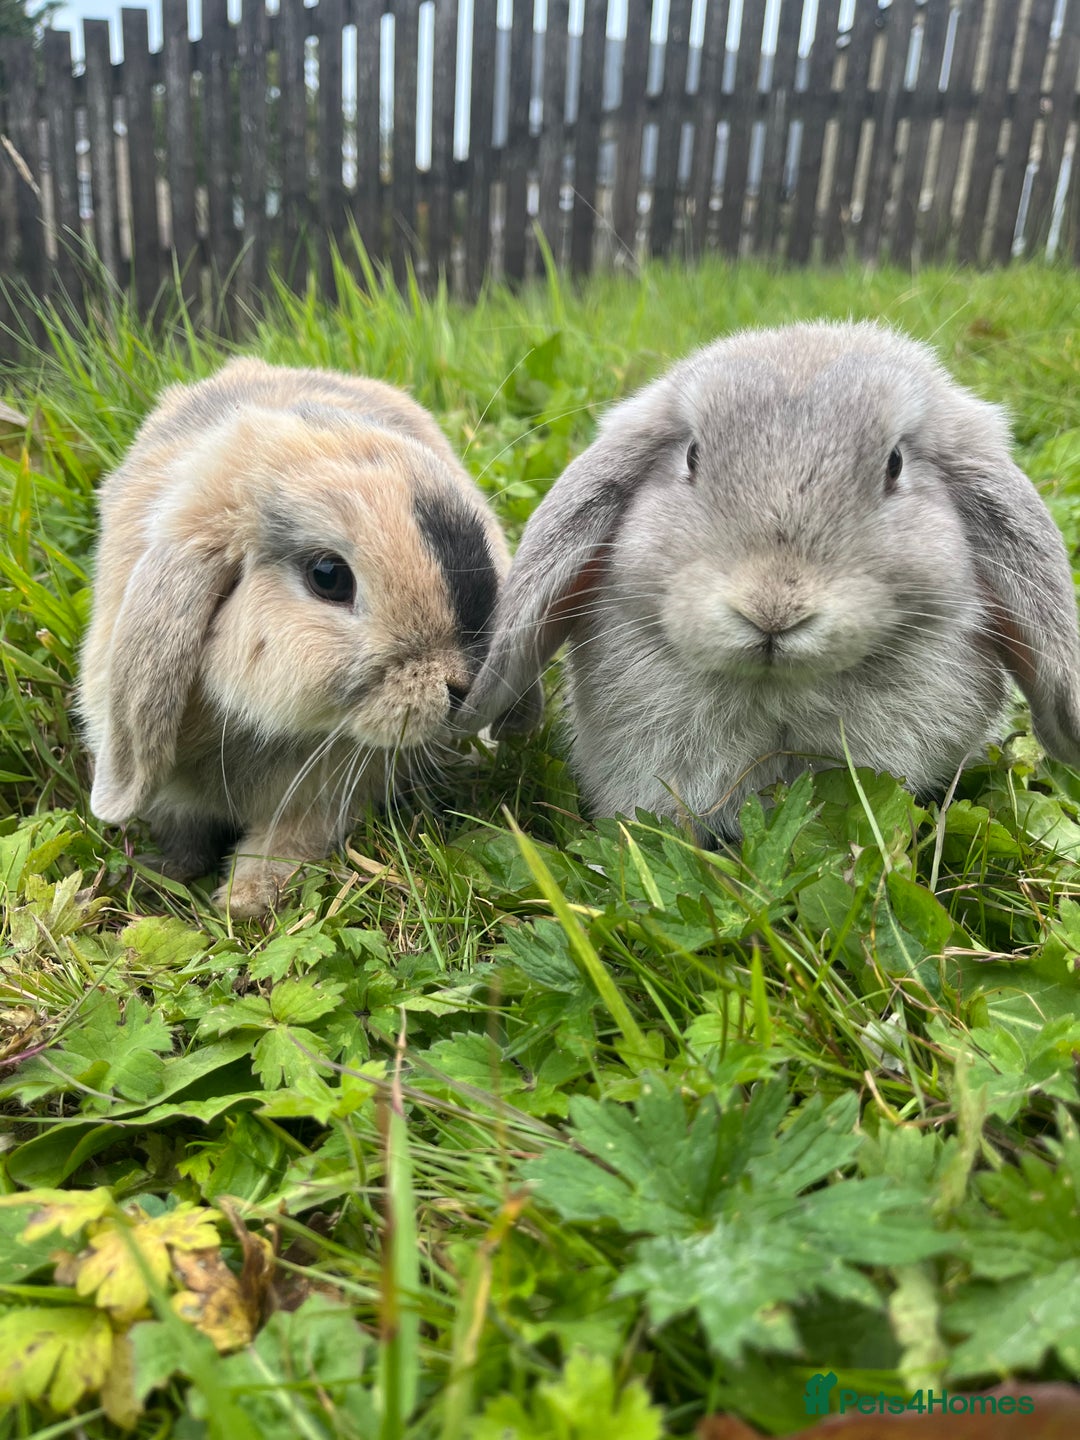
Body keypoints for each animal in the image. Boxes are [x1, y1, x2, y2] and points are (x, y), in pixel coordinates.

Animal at [78, 357, 539, 917]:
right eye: (328, 576)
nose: (463, 686)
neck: (263, 729)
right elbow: (184, 835)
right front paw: (166, 874)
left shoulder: (319, 800)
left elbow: (286, 842)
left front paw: (244, 899)